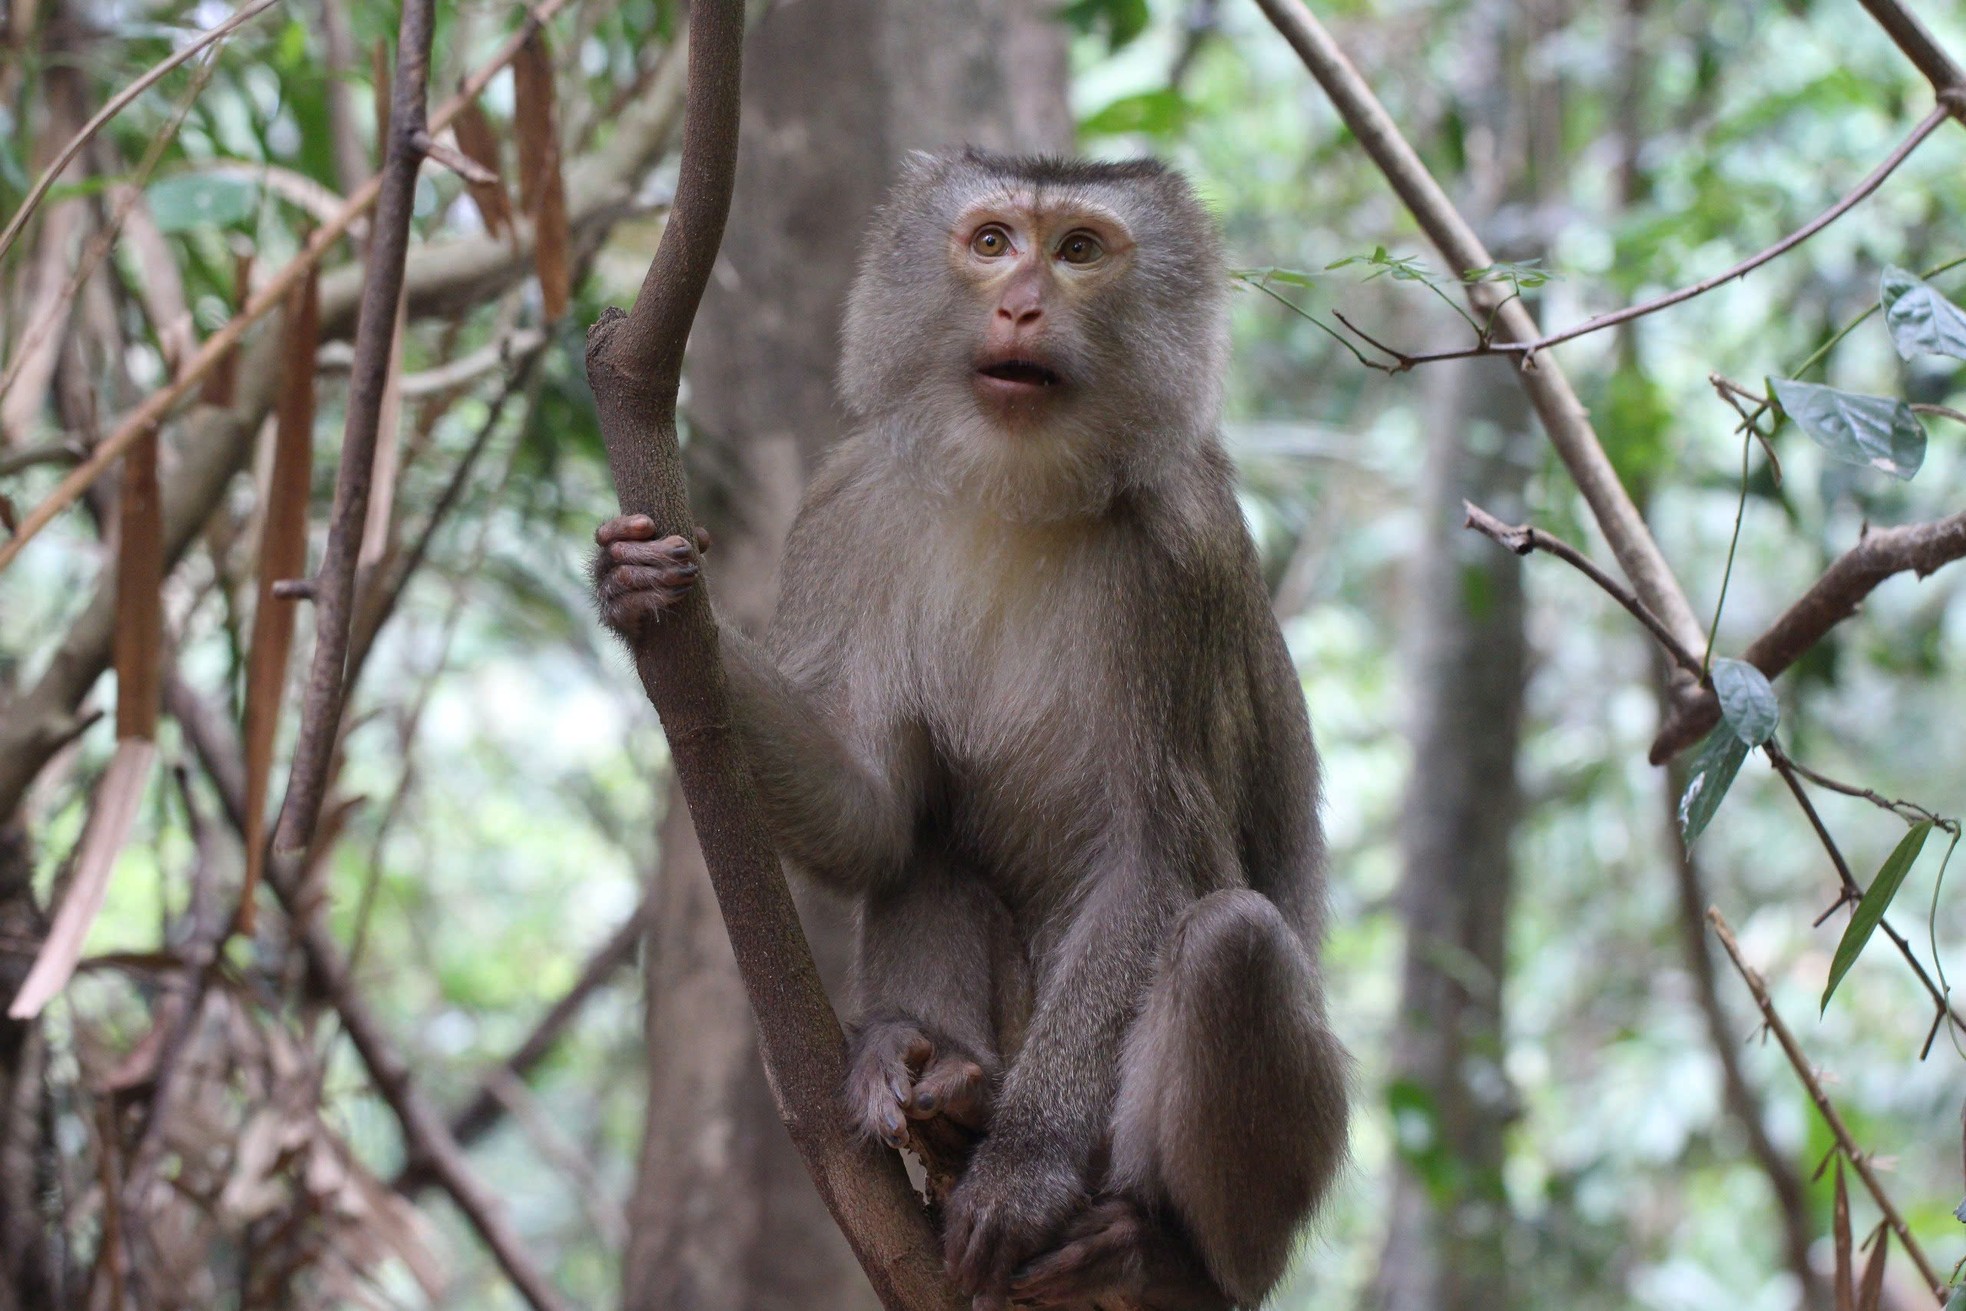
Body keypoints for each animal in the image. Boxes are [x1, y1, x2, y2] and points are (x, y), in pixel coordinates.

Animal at [589, 148, 1344, 1305]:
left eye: (1078, 250)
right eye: (992, 242)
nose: (1022, 304)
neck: (1019, 493)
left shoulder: (1179, 565)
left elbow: (1155, 864)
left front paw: (1024, 1172)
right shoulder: (850, 501)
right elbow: (874, 814)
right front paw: (656, 608)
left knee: (1235, 944)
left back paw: (1146, 1239)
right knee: (932, 843)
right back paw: (929, 1066)